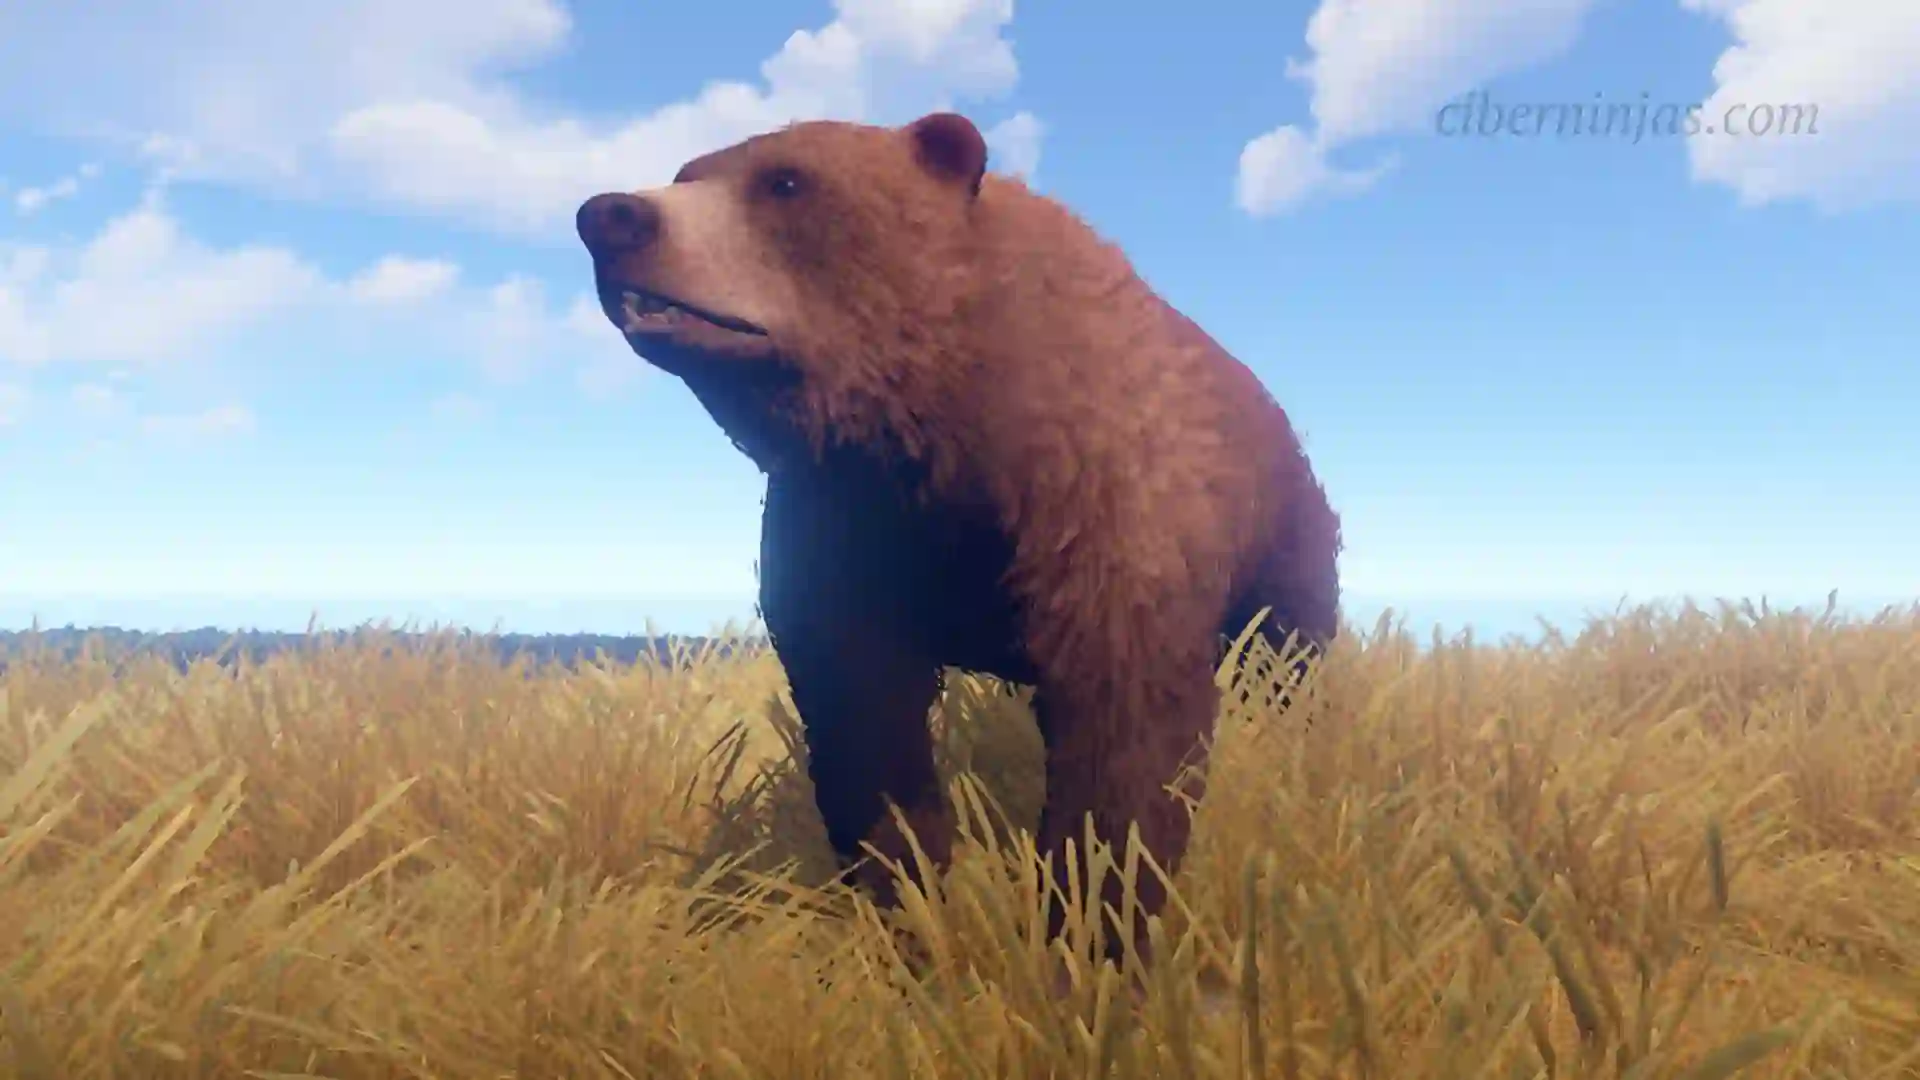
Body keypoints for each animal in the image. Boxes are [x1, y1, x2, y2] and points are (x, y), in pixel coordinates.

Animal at [575, 111, 1342, 968]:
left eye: (785, 180)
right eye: (688, 170)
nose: (611, 216)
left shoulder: (1105, 511)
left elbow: (1126, 735)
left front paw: (1093, 933)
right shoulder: (846, 527)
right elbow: (865, 726)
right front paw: (913, 911)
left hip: (1285, 541)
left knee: (1286, 659)